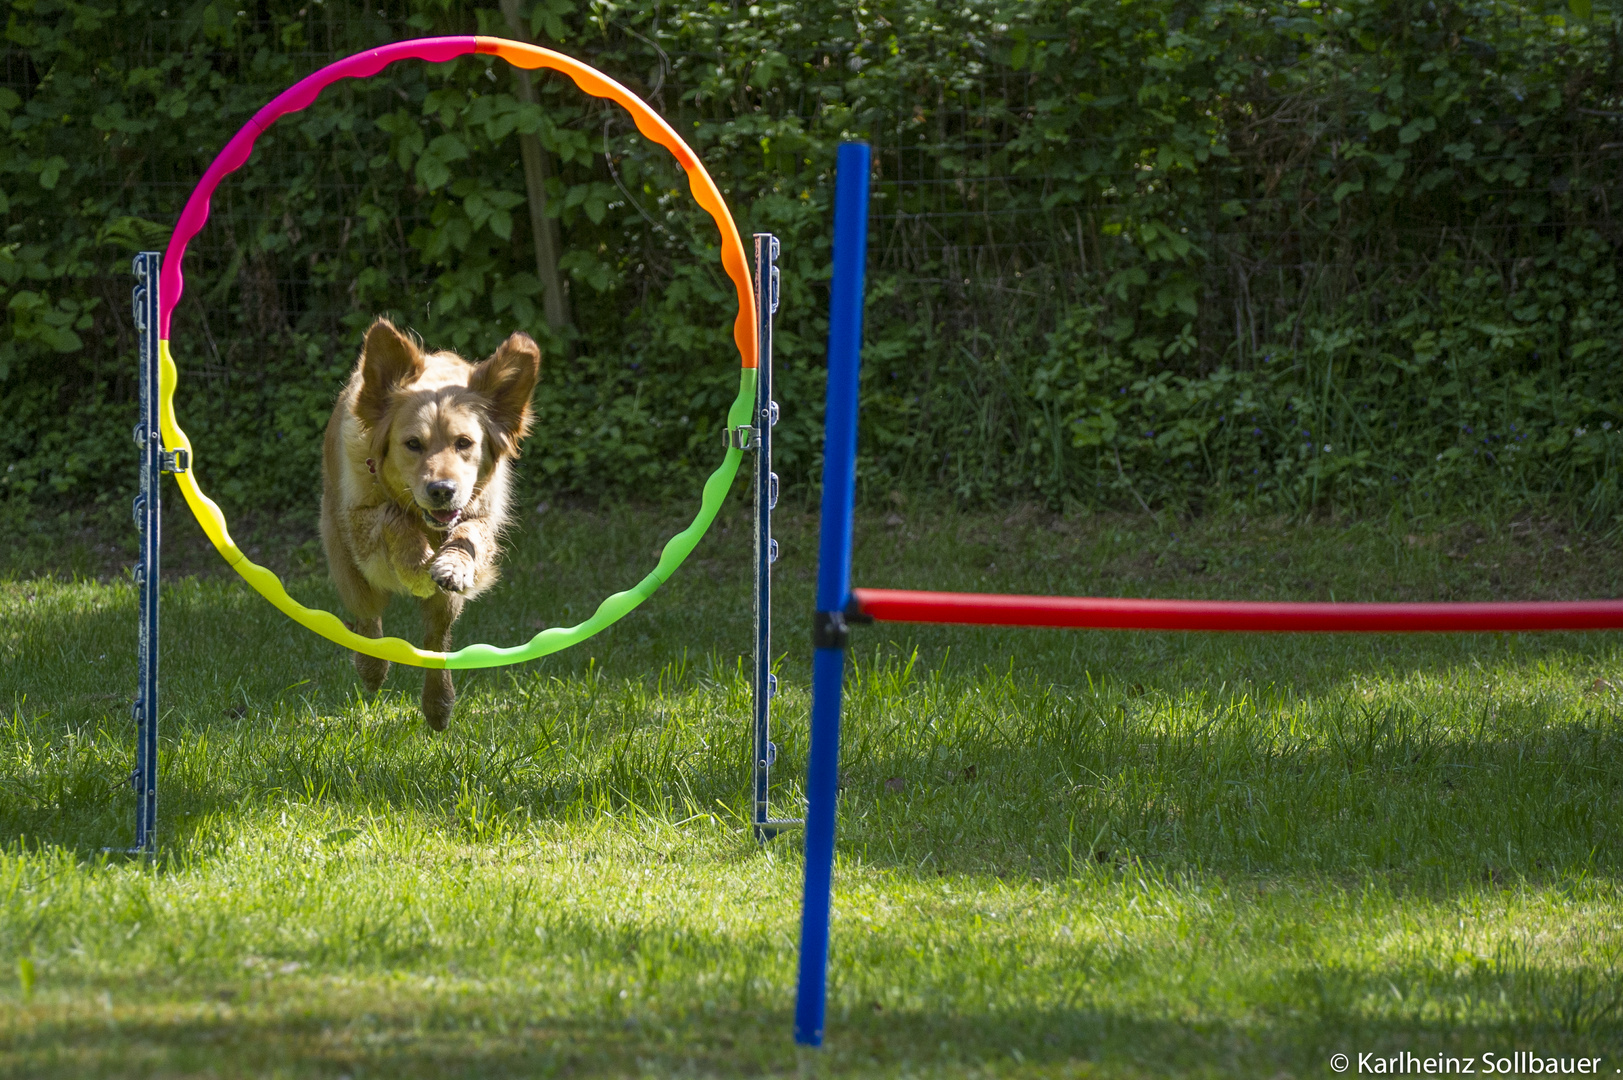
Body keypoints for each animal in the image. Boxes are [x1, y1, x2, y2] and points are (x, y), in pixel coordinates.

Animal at [319, 316, 542, 727]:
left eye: (464, 443)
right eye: (413, 444)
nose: (442, 490)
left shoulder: (480, 513)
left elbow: (469, 532)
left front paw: (452, 564)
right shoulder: (359, 524)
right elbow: (391, 516)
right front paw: (415, 565)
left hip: (444, 607)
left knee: (435, 641)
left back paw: (438, 702)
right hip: (343, 559)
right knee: (368, 618)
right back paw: (372, 667)